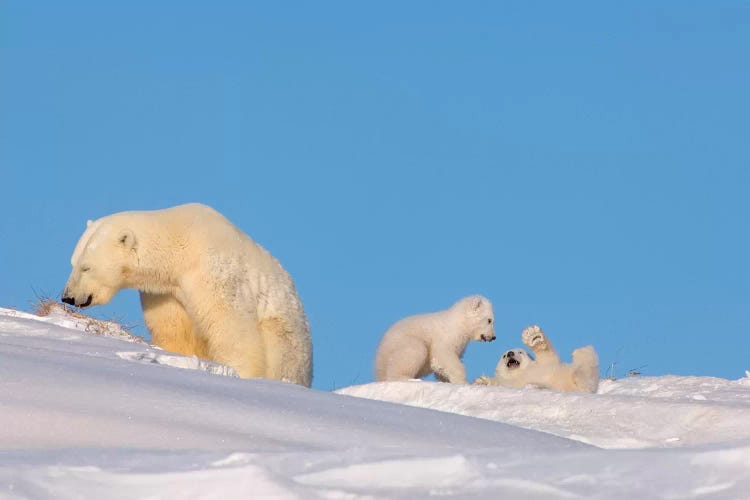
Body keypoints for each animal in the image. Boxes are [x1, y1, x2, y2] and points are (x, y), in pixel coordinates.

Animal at [60, 203, 314, 386]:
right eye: (72, 263)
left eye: (86, 267)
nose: (67, 297)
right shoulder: (165, 292)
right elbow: (174, 331)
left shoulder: (212, 271)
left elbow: (232, 325)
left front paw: (239, 371)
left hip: (284, 339)